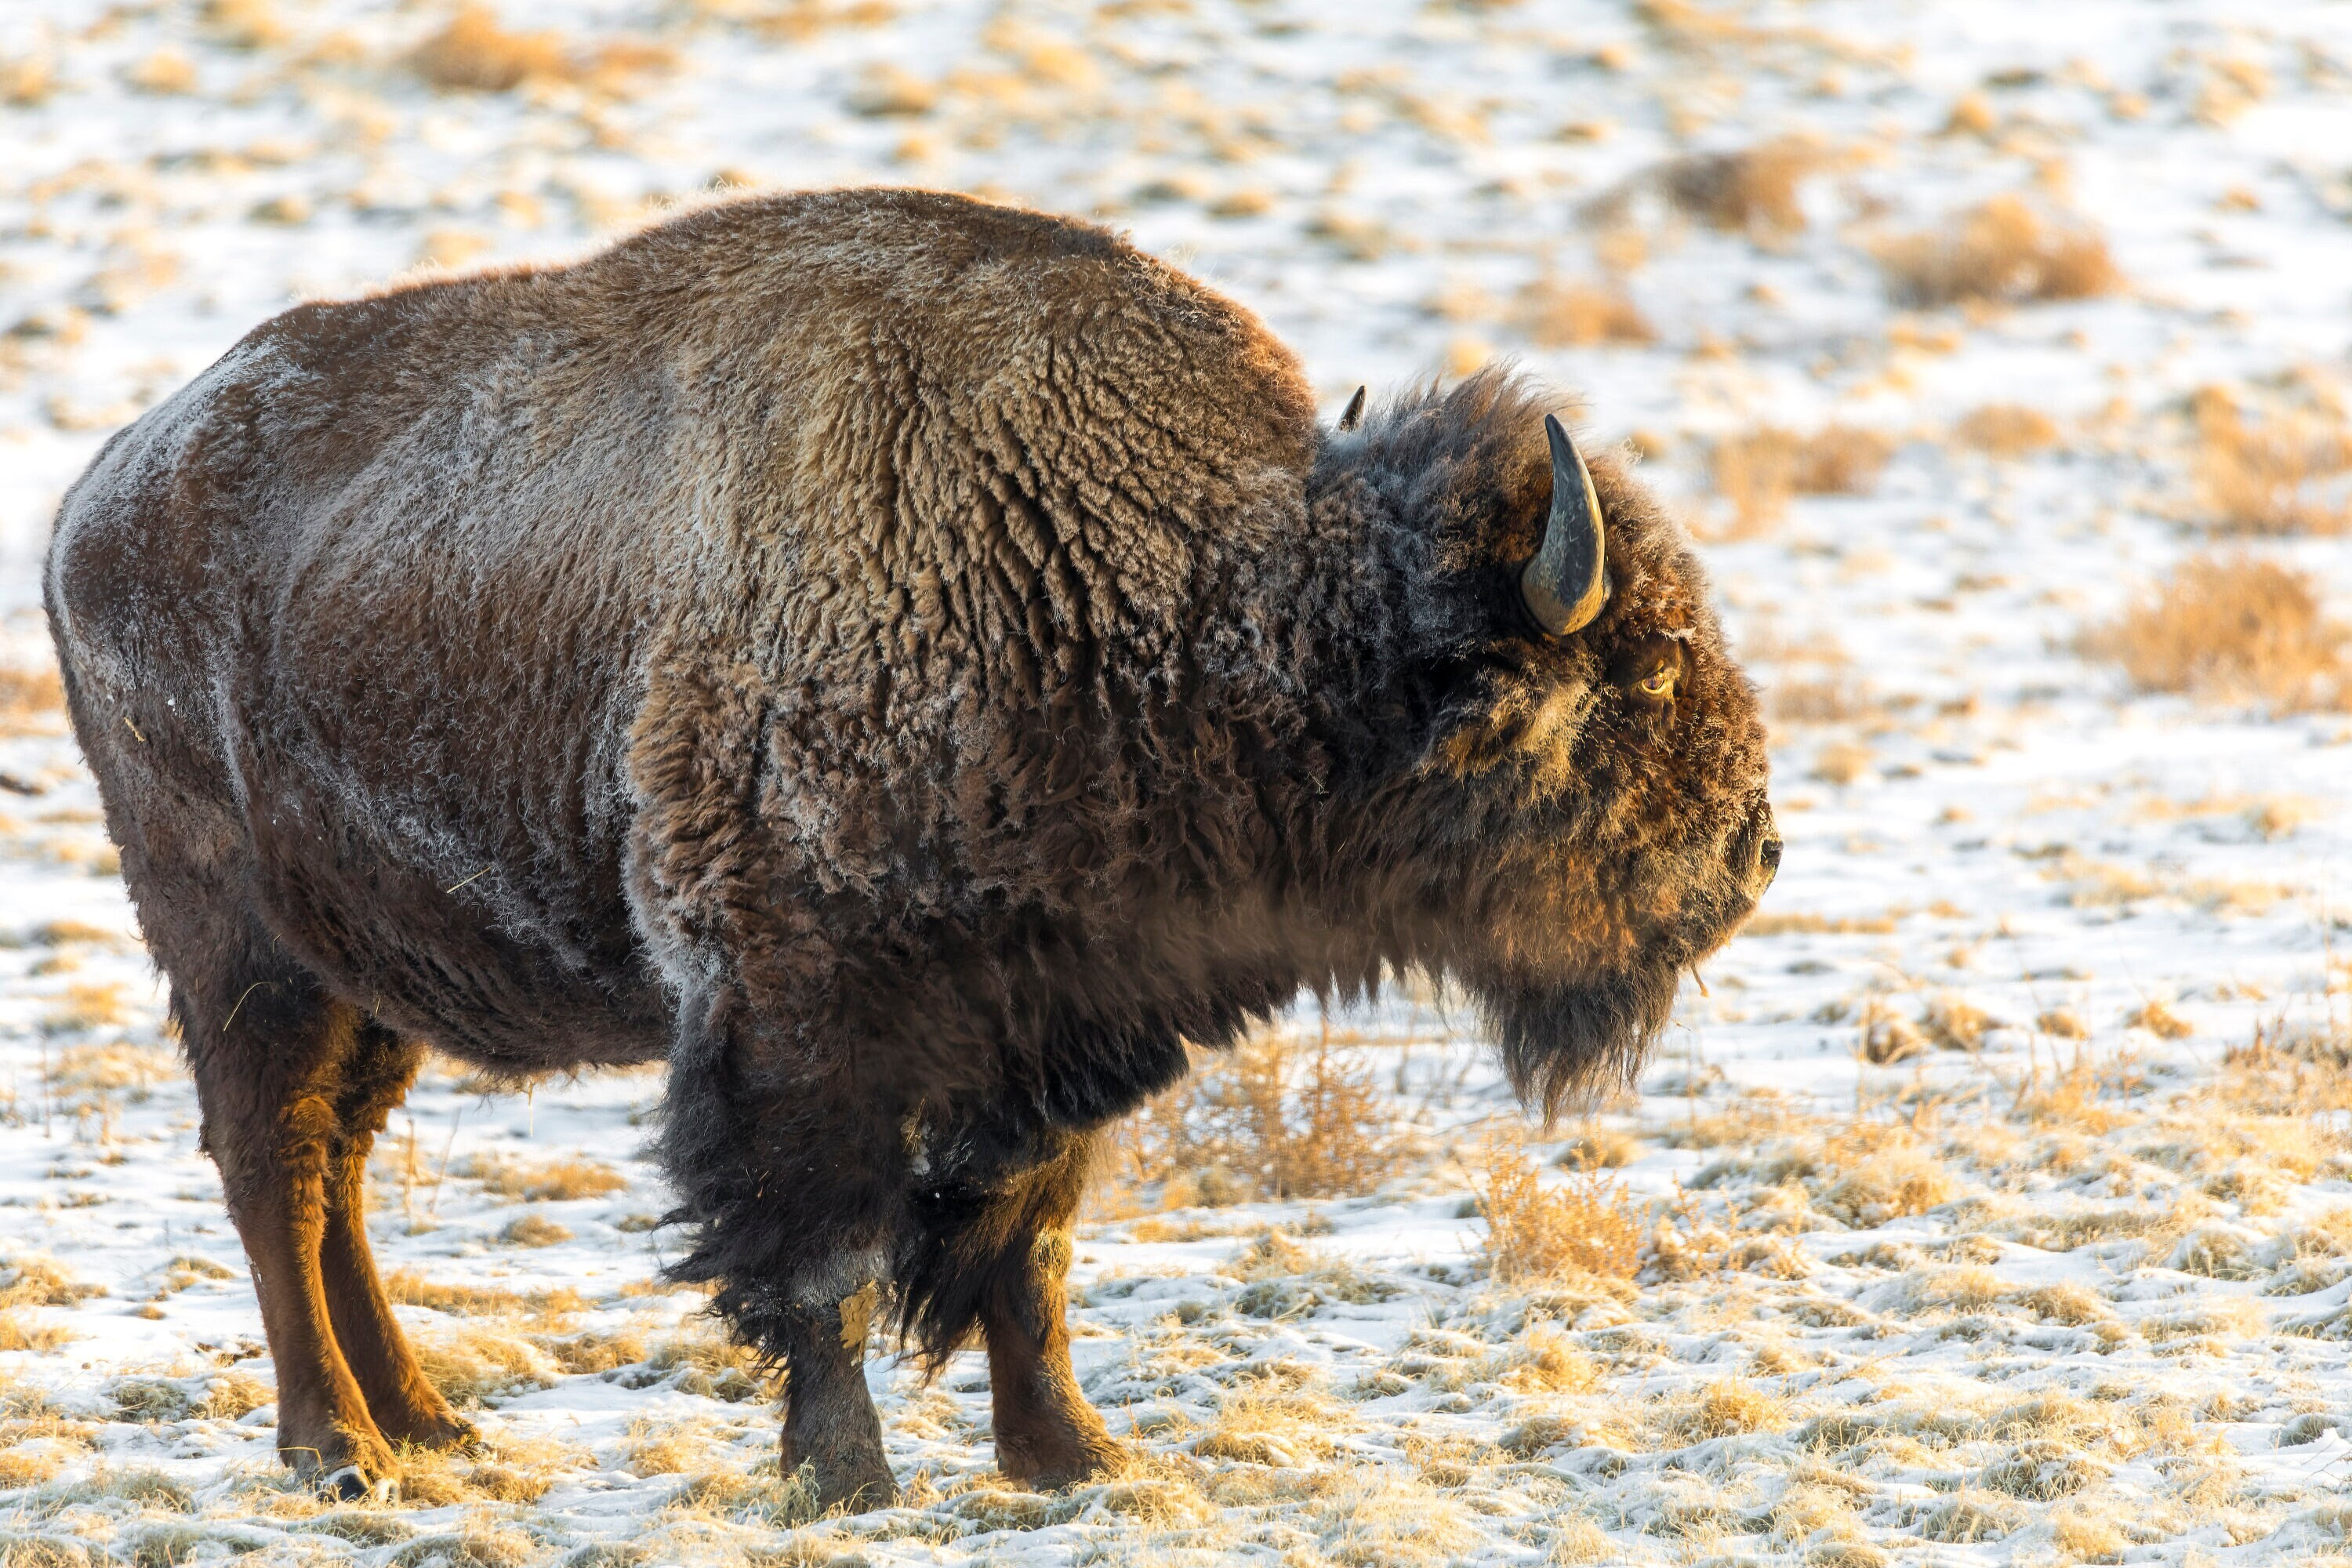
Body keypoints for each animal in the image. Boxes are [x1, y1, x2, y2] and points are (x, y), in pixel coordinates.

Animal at [45, 188, 1775, 1509]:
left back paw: (430, 1420)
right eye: (1633, 683)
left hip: (370, 979)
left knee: (336, 1169)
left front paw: (1072, 1460)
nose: (1753, 855)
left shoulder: (1055, 1028)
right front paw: (849, 1482)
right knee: (274, 1164)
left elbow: (1028, 1252)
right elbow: (823, 1264)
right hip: (235, 950)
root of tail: (97, 493)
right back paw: (338, 1447)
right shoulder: (800, 1029)